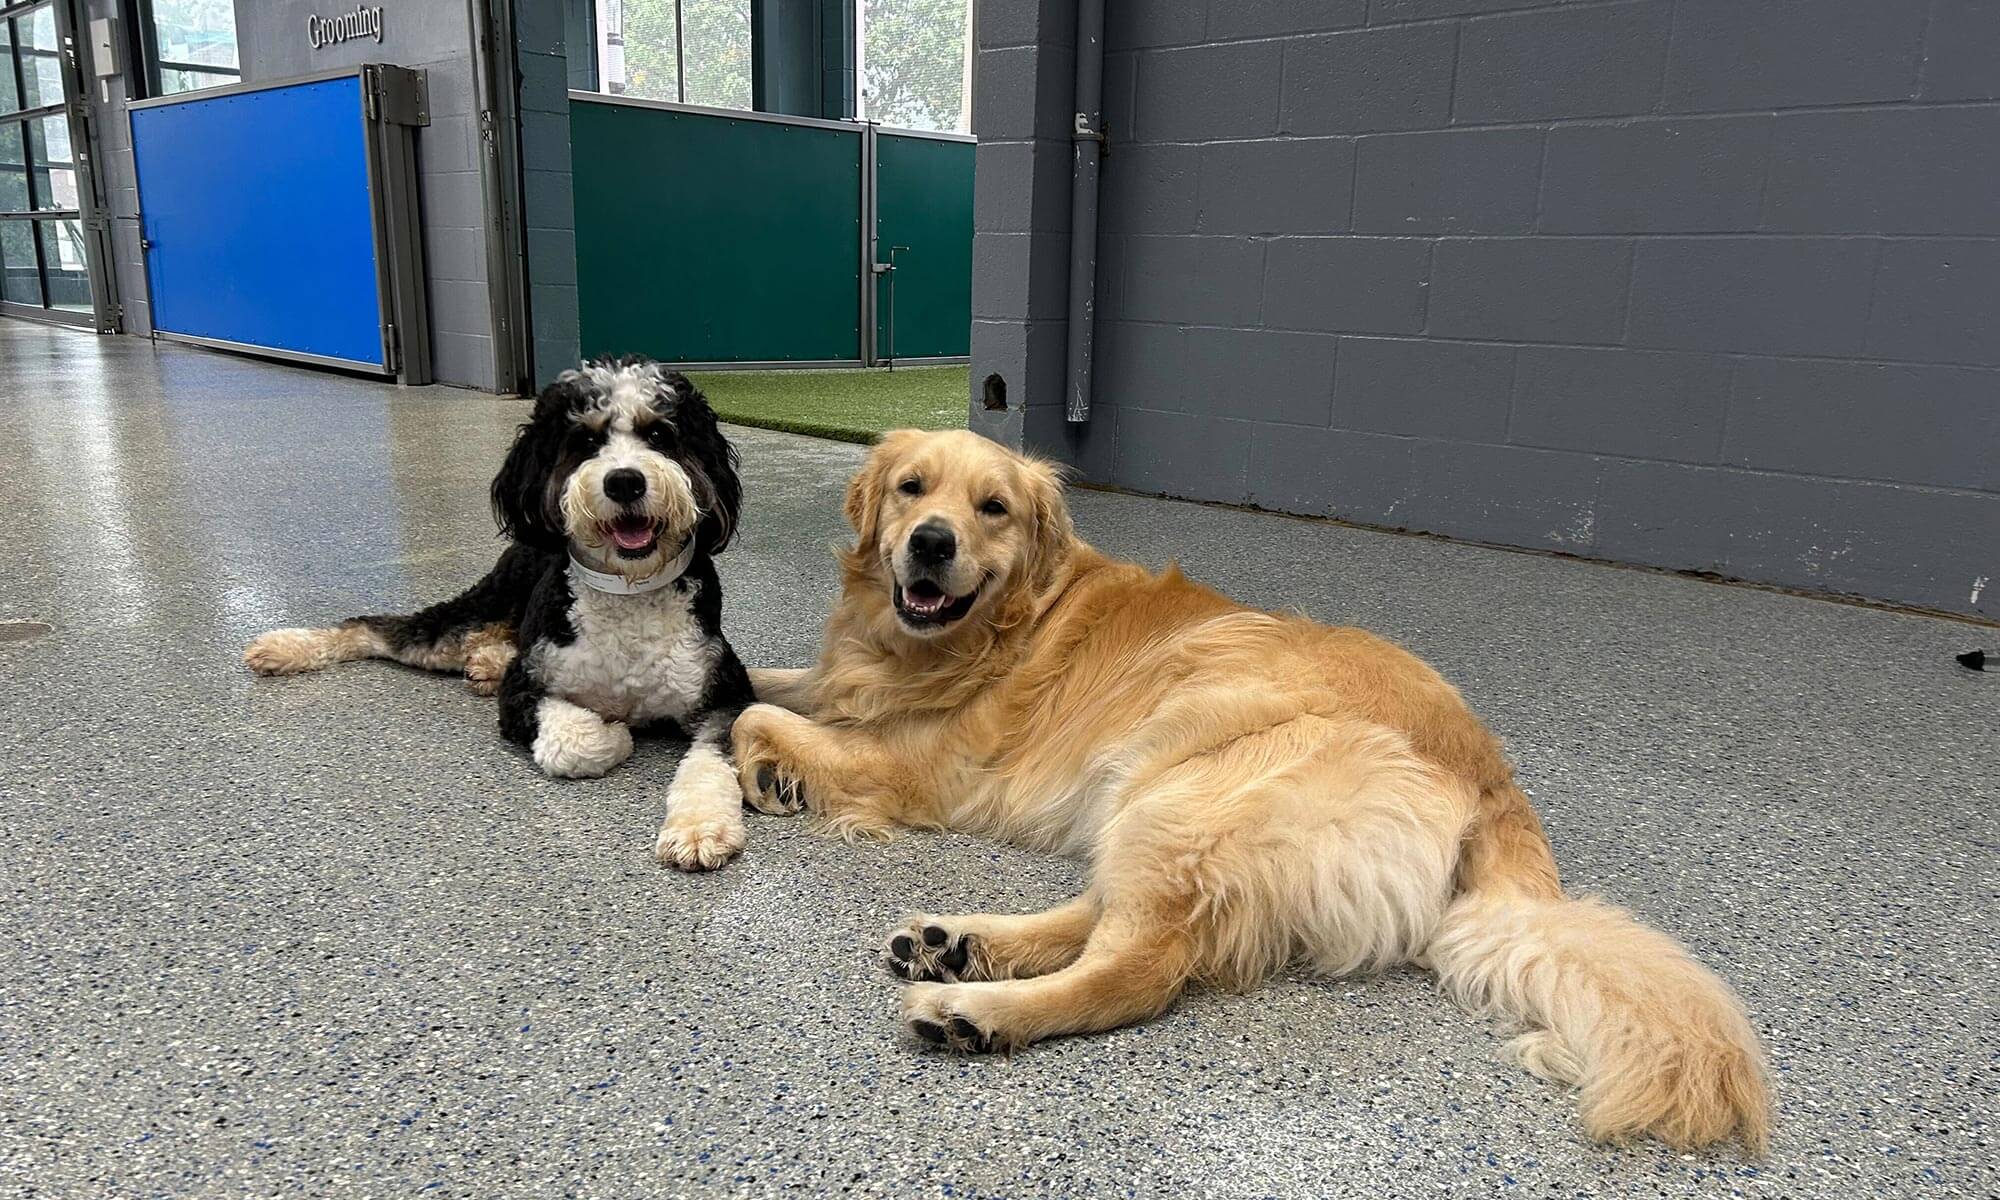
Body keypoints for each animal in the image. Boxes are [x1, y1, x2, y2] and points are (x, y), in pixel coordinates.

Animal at [244, 356, 756, 872]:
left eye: (659, 434)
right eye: (586, 440)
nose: (625, 481)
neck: (629, 591)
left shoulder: (725, 696)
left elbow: (708, 762)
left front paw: (699, 827)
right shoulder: (522, 692)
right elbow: (577, 739)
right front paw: (615, 734)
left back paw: (485, 662)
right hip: (472, 612)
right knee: (374, 628)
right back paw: (284, 647)